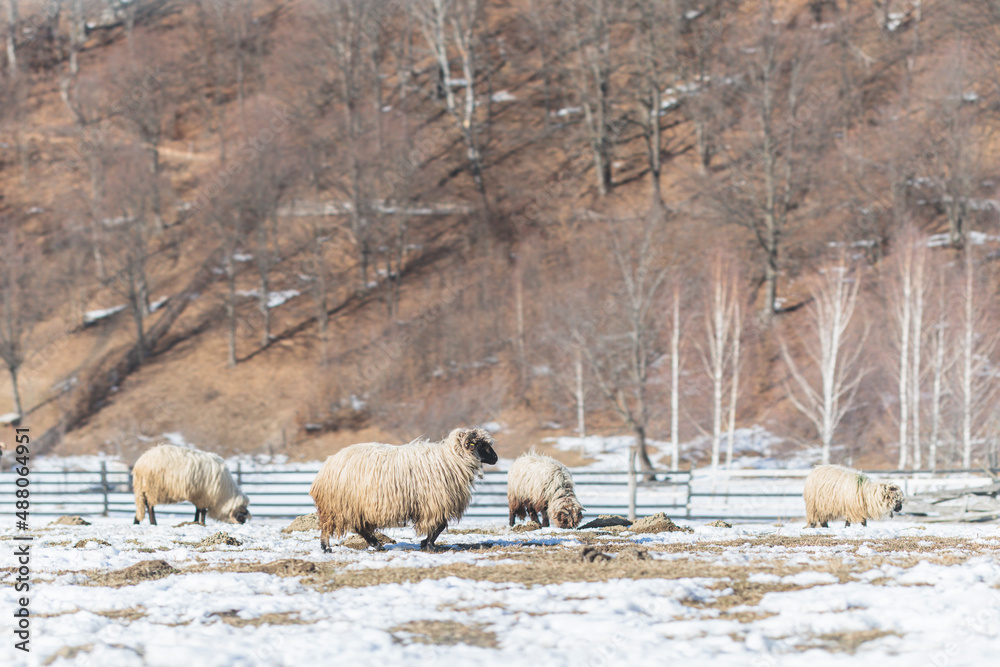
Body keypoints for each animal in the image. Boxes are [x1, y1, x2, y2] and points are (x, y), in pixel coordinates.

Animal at [309, 427, 498, 552]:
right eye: (481, 444)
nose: (496, 458)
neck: (452, 459)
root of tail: (327, 466)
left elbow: (439, 526)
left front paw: (425, 543)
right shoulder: (434, 503)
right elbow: (439, 525)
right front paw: (428, 544)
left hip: (354, 505)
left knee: (359, 527)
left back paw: (377, 545)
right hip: (338, 505)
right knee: (328, 526)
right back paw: (326, 548)